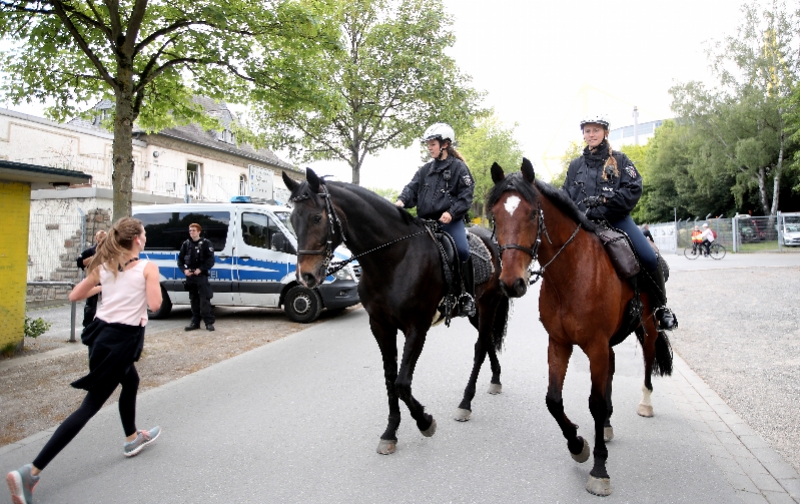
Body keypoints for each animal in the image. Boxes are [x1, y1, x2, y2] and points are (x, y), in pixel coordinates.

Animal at [286, 169, 512, 456]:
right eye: (293, 219)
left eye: (317, 217)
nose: (306, 277)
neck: (394, 259)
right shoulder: (381, 326)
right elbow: (390, 379)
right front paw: (390, 432)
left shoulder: (416, 328)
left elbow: (402, 383)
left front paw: (425, 422)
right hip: (475, 312)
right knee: (487, 341)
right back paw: (495, 379)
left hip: (489, 303)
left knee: (481, 346)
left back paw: (465, 403)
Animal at [488, 160, 676, 496]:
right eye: (495, 216)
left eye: (532, 214)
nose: (511, 283)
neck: (572, 274)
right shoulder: (559, 343)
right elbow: (553, 400)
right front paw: (577, 444)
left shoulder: (596, 346)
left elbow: (596, 404)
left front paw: (600, 469)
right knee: (612, 370)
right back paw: (608, 427)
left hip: (649, 326)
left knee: (647, 360)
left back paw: (645, 403)